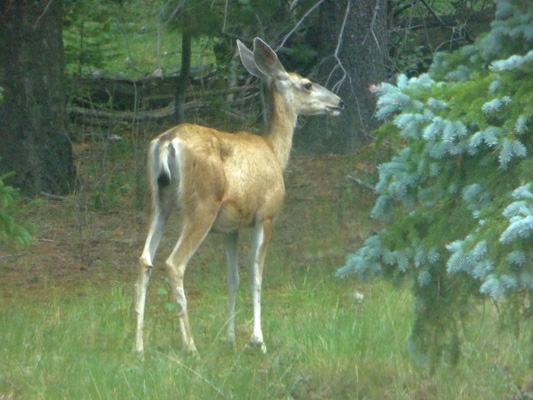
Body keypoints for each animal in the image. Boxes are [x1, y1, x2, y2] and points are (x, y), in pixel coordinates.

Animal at [135, 37, 342, 354]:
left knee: (144, 260)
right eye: (307, 84)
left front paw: (230, 338)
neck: (274, 152)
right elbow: (256, 276)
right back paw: (190, 346)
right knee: (174, 263)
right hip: (202, 204)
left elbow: (232, 279)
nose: (338, 102)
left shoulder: (230, 228)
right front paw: (258, 340)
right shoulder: (265, 215)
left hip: (158, 200)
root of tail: (167, 142)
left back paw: (139, 347)